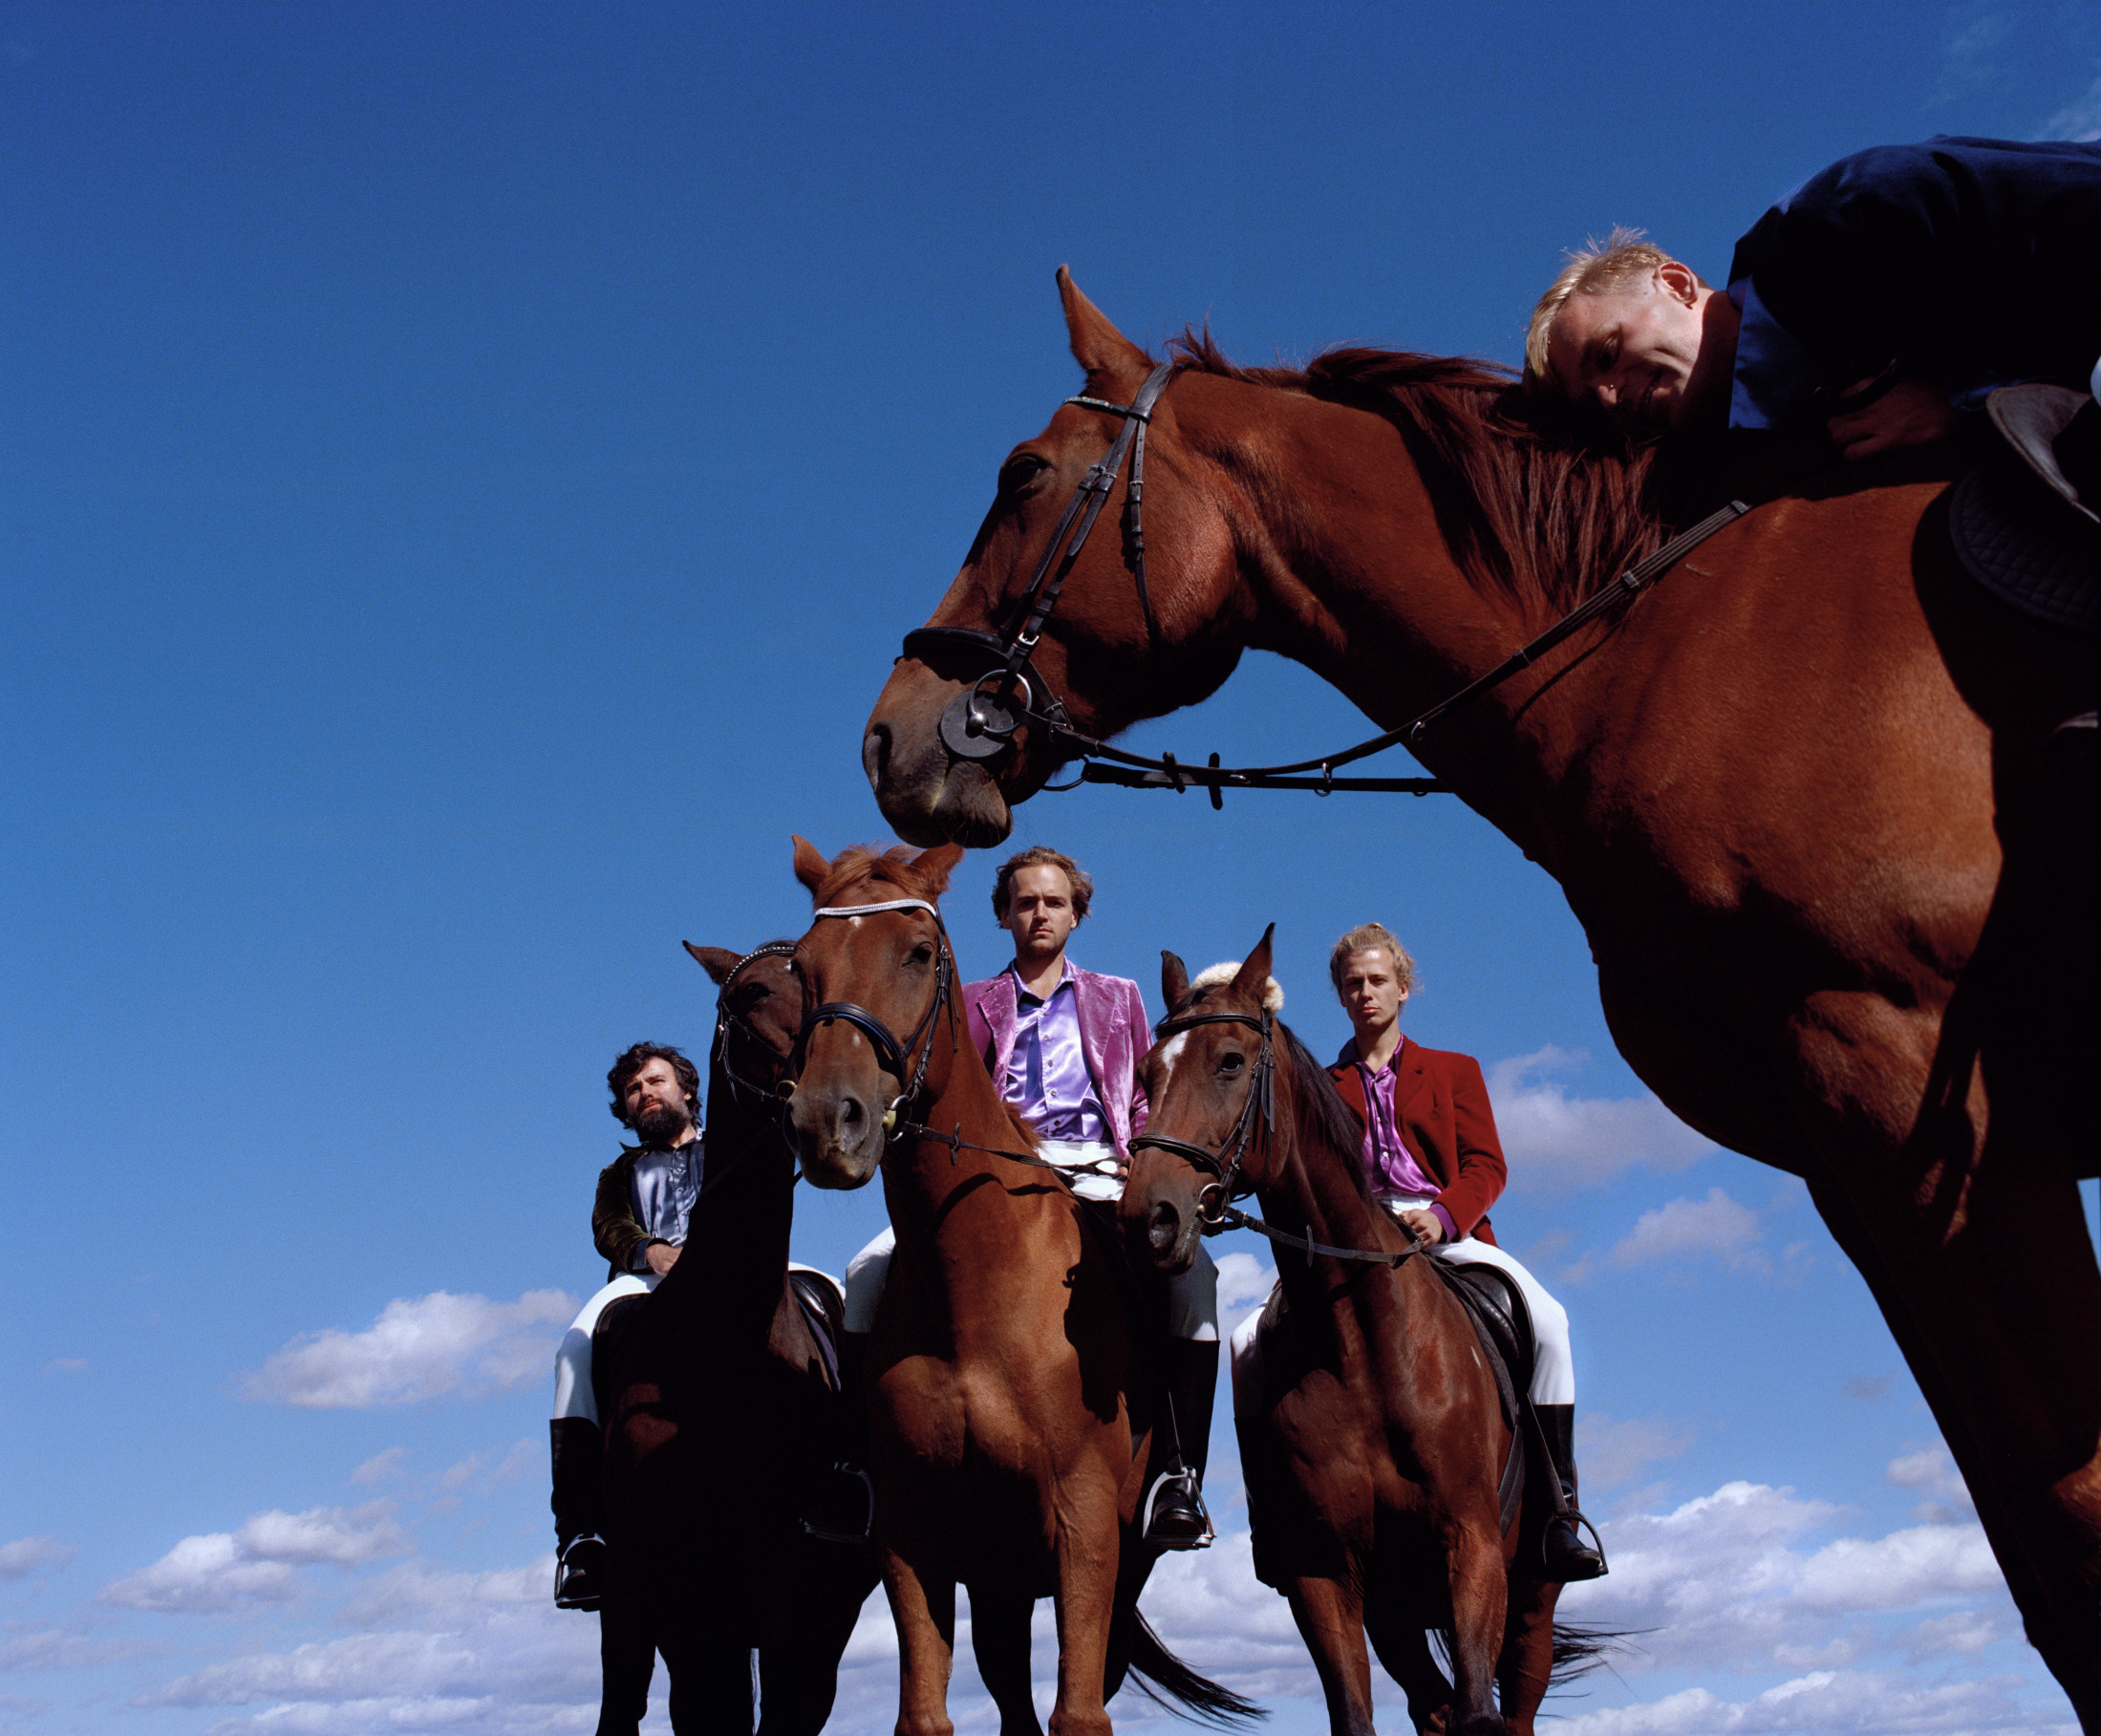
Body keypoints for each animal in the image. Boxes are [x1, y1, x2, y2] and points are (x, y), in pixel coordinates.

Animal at [785, 840, 1243, 1731]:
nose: (828, 1122)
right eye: (802, 964)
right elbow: (925, 1713)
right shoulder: (913, 1534)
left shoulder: (1086, 1528)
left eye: (918, 953)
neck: (976, 1290)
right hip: (997, 1576)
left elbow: (1079, 1711)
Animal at [1126, 932, 1579, 1731]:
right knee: (1431, 1705)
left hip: (1530, 1594)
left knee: (1512, 1704)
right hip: (1395, 1610)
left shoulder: (1471, 1549)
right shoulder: (1325, 1570)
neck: (1366, 1344)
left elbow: (1479, 1712)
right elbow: (1356, 1714)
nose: (1148, 1216)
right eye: (1147, 1072)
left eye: (1230, 1061)